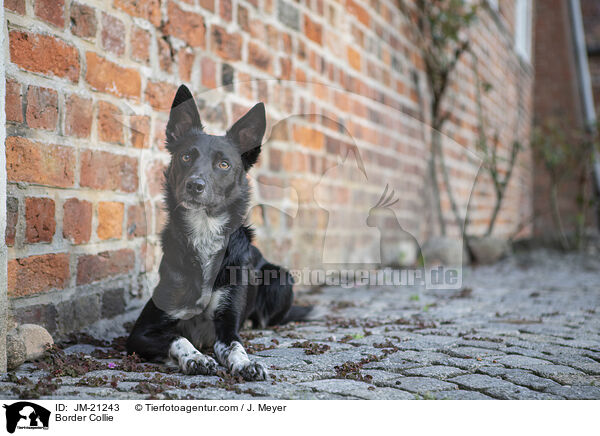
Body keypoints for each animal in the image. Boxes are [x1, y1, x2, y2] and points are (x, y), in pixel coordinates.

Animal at [126, 86, 304, 382]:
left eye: (223, 164)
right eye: (186, 156)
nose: (195, 185)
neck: (204, 230)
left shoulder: (227, 325)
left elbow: (236, 346)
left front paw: (246, 363)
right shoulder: (140, 333)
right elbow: (178, 338)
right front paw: (196, 358)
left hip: (281, 277)